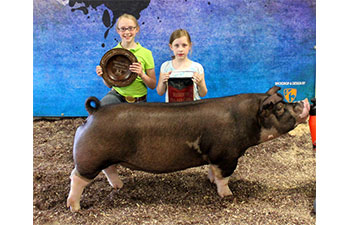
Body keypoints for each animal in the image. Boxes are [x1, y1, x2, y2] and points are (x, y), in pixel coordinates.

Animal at [67, 86, 308, 211]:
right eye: (279, 107)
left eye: (284, 101)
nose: (306, 103)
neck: (245, 120)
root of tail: (94, 112)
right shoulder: (227, 156)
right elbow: (224, 178)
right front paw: (227, 195)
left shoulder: (214, 156)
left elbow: (213, 172)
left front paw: (210, 181)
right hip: (90, 158)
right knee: (76, 178)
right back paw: (75, 207)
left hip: (106, 157)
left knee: (110, 170)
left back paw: (119, 186)